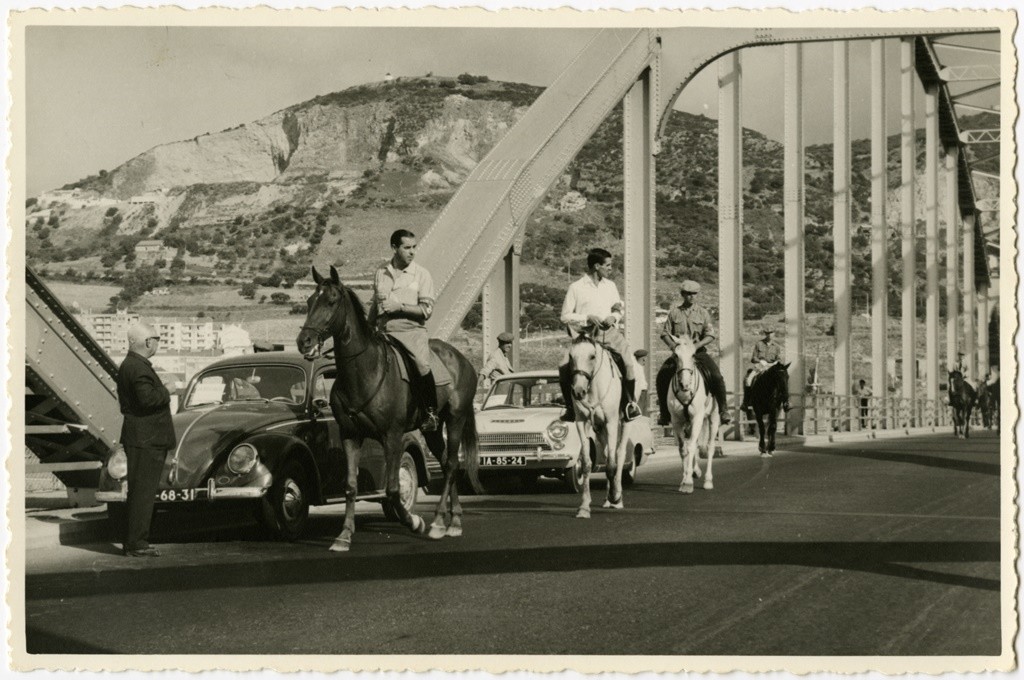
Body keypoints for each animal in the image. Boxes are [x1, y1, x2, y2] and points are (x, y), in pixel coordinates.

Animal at [296, 266, 479, 553]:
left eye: (331, 301)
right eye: (309, 300)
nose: (304, 341)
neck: (365, 371)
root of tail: (461, 359)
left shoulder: (391, 437)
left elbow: (394, 489)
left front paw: (414, 521)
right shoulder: (350, 435)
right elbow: (350, 486)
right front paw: (344, 535)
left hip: (455, 419)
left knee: (451, 464)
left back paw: (441, 523)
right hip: (432, 429)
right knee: (444, 461)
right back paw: (450, 520)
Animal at [565, 327, 626, 518]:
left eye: (592, 356)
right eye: (570, 356)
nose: (578, 391)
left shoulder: (611, 422)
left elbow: (612, 465)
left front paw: (615, 496)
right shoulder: (581, 422)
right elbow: (586, 464)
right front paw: (584, 506)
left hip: (622, 424)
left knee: (618, 455)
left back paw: (616, 497)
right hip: (599, 429)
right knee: (606, 454)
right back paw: (607, 498)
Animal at [663, 335, 720, 491]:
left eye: (694, 355)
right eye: (676, 355)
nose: (685, 384)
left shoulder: (697, 418)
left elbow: (692, 446)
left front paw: (688, 482)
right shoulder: (676, 420)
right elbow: (683, 448)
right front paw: (685, 479)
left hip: (713, 418)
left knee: (709, 447)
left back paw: (708, 480)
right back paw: (695, 471)